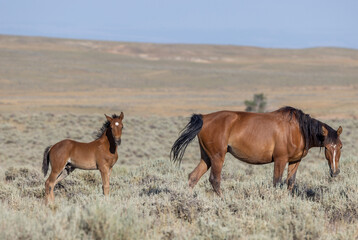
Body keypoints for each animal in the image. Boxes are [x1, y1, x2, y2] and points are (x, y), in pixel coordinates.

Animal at [171, 107, 344, 197]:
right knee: (215, 180)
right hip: (217, 157)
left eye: (340, 146)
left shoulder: (295, 161)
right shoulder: (280, 160)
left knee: (193, 177)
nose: (335, 172)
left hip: (206, 157)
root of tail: (205, 117)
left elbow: (290, 183)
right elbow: (277, 182)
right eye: (327, 148)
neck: (298, 129)